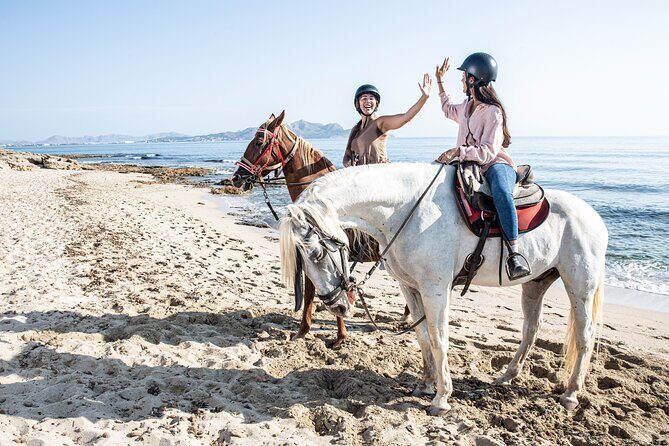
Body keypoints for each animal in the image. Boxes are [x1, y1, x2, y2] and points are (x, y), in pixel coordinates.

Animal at [279, 162, 607, 415]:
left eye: (316, 254)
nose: (336, 305)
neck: (406, 210)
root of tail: (594, 218)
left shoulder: (434, 289)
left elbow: (439, 340)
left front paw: (441, 398)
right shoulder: (410, 287)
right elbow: (423, 337)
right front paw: (424, 385)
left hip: (580, 285)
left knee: (584, 335)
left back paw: (570, 394)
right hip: (536, 284)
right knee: (531, 329)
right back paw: (506, 376)